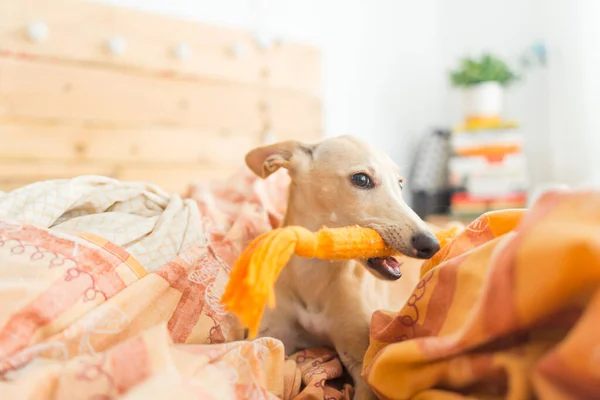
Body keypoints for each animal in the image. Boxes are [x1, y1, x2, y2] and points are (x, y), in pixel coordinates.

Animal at [245, 136, 440, 398]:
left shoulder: (362, 363)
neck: (315, 275)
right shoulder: (269, 340)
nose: (431, 244)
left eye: (400, 184)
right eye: (361, 179)